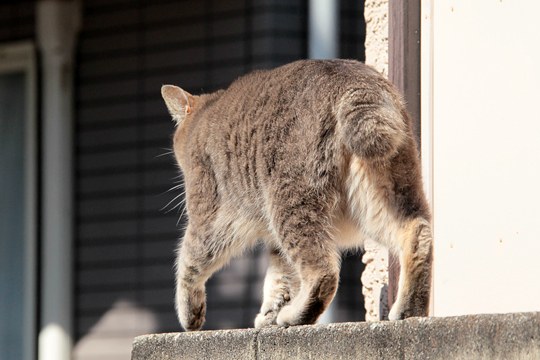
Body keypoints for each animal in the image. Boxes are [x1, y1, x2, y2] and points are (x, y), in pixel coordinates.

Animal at [161, 59, 434, 332]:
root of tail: (354, 80)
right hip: (381, 196)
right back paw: (409, 310)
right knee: (418, 233)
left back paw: (295, 317)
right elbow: (279, 277)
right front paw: (269, 314)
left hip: (292, 206)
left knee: (323, 273)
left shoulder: (210, 217)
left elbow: (188, 262)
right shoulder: (272, 241)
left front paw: (189, 314)